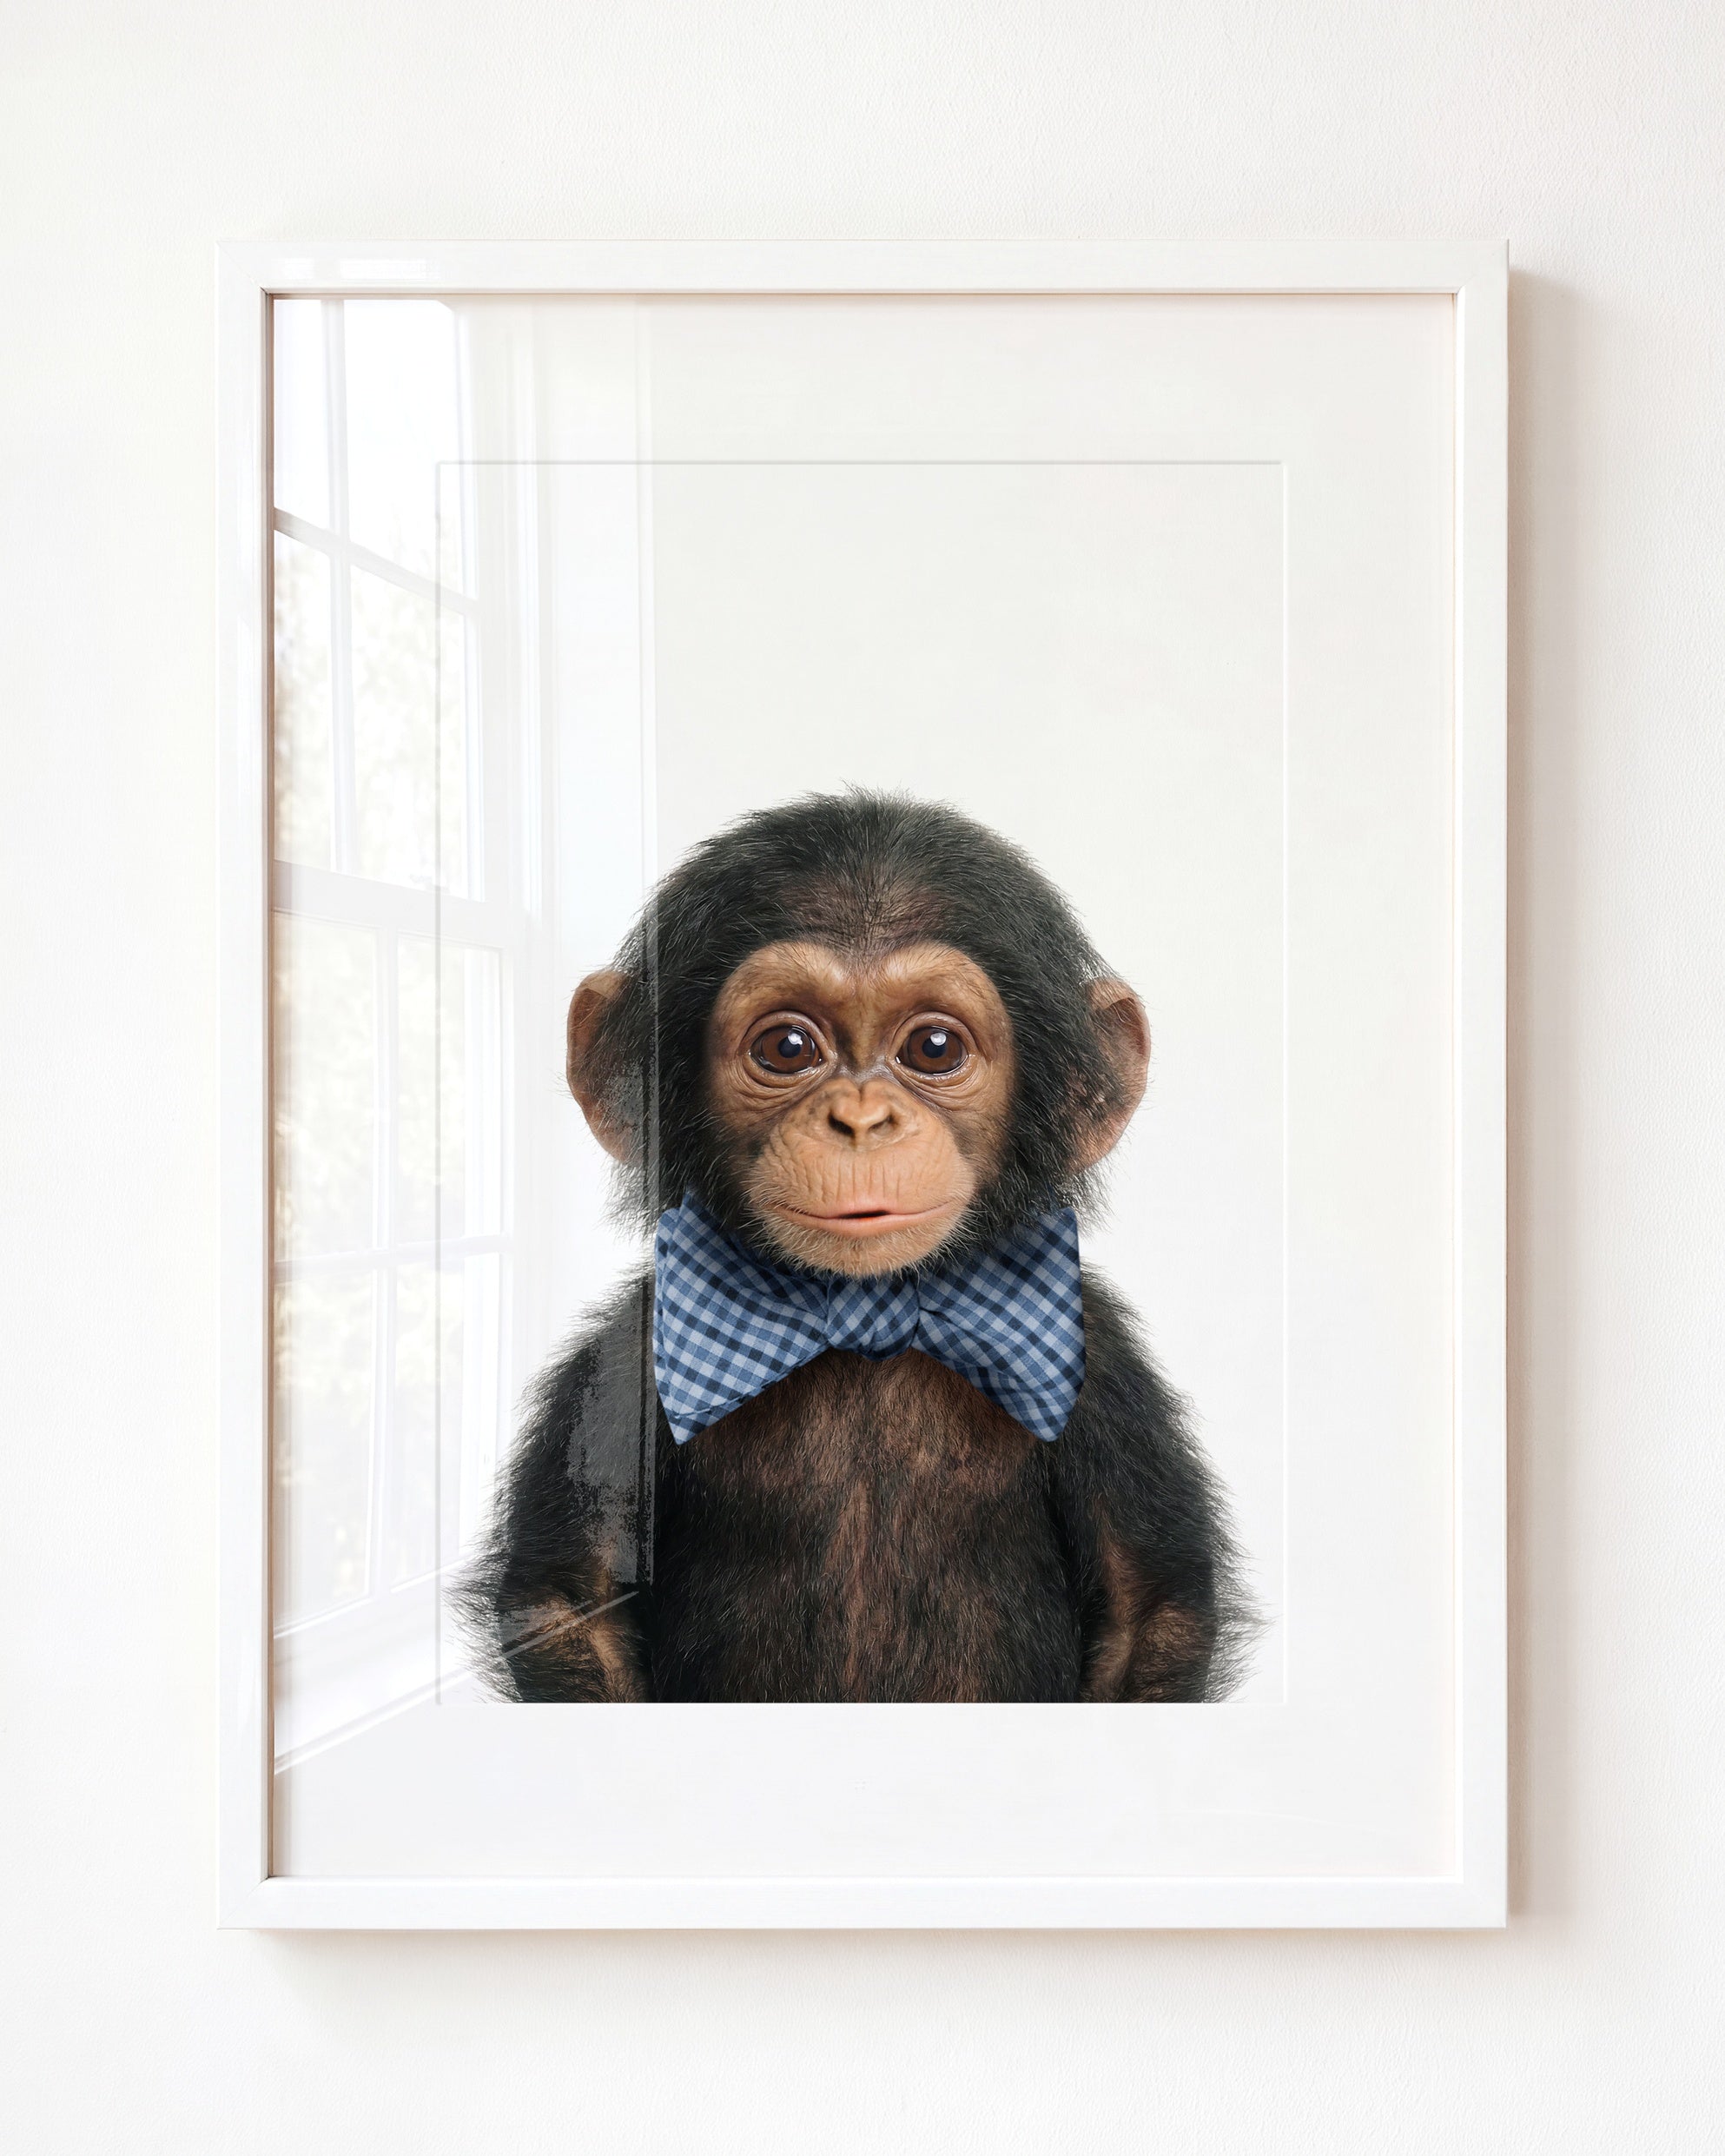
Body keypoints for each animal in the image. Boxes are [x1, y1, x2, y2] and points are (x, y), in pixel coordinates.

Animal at [457, 792, 1254, 1703]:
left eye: (934, 1048)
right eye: (787, 1047)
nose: (862, 1120)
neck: (865, 1314)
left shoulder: (1103, 1366)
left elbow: (1148, 1608)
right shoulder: (627, 1355)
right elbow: (570, 1601)